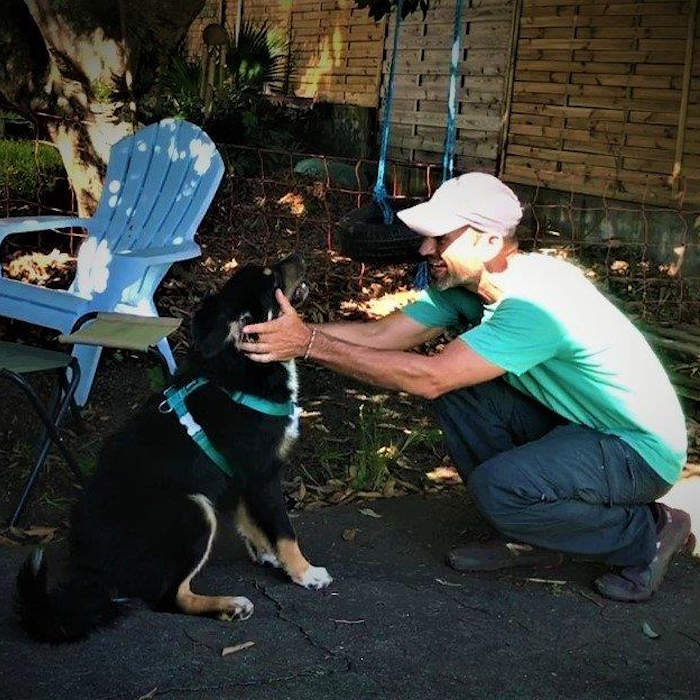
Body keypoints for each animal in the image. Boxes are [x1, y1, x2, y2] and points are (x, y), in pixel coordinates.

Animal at [15, 254, 332, 644]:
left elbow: (253, 522)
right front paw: (305, 573)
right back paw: (229, 606)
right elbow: (285, 531)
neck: (242, 367)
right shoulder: (262, 473)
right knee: (168, 598)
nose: (300, 257)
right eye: (271, 277)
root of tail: (94, 572)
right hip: (193, 510)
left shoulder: (238, 479)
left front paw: (268, 555)